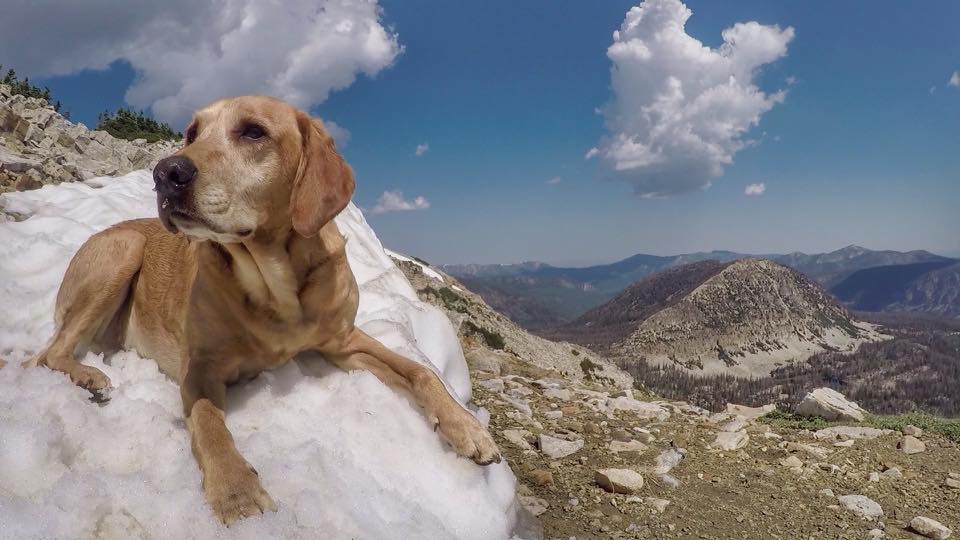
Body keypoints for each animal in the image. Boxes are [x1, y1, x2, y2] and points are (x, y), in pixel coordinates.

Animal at [22, 96, 502, 524]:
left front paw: (467, 428)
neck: (276, 285)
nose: (165, 173)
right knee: (49, 353)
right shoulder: (201, 369)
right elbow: (210, 425)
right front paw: (236, 493)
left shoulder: (344, 343)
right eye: (192, 133)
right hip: (125, 250)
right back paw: (89, 377)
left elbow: (421, 372)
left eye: (253, 131)